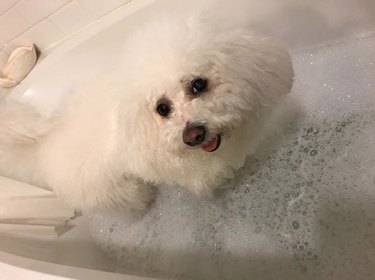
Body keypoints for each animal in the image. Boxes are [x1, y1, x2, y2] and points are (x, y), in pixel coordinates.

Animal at [0, 14, 296, 209]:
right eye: (162, 108)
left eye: (198, 84)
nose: (193, 135)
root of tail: (42, 147)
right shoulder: (198, 174)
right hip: (113, 190)